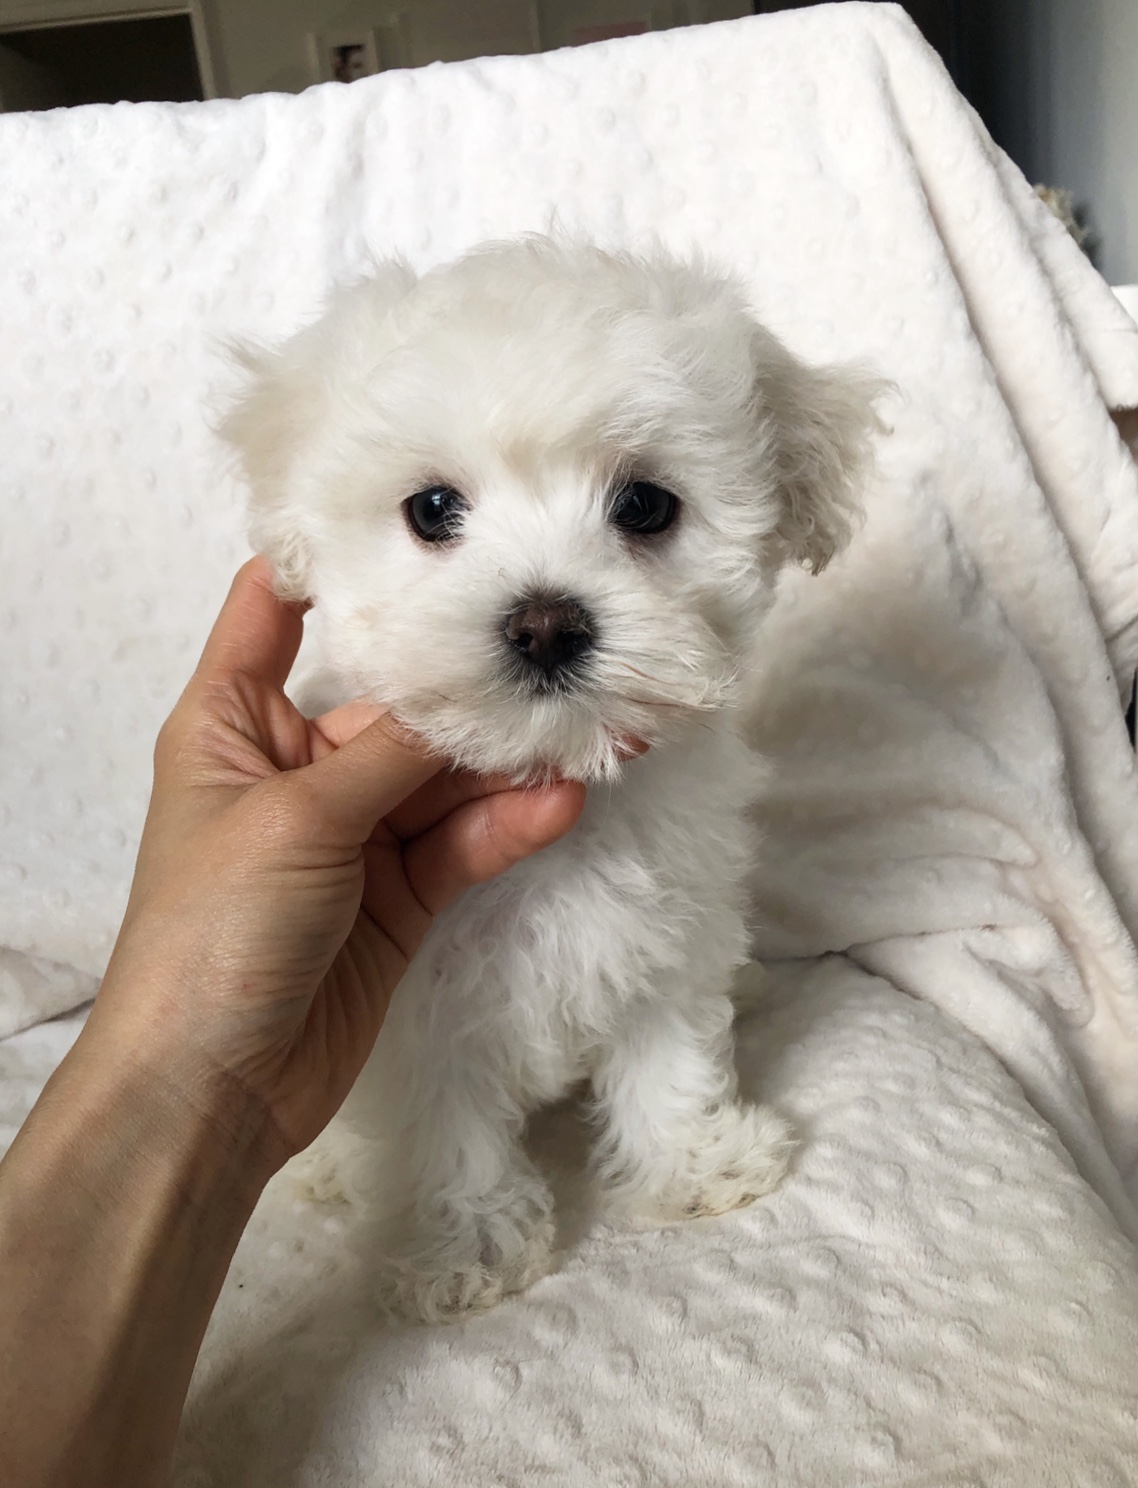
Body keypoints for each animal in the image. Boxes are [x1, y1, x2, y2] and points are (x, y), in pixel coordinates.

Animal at [221, 235, 880, 1327]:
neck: (558, 776)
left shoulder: (668, 931)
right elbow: (441, 1120)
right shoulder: (409, 1000)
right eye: (432, 510)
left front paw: (692, 1167)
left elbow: (668, 1054)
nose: (544, 624)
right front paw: (465, 1248)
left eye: (646, 507)